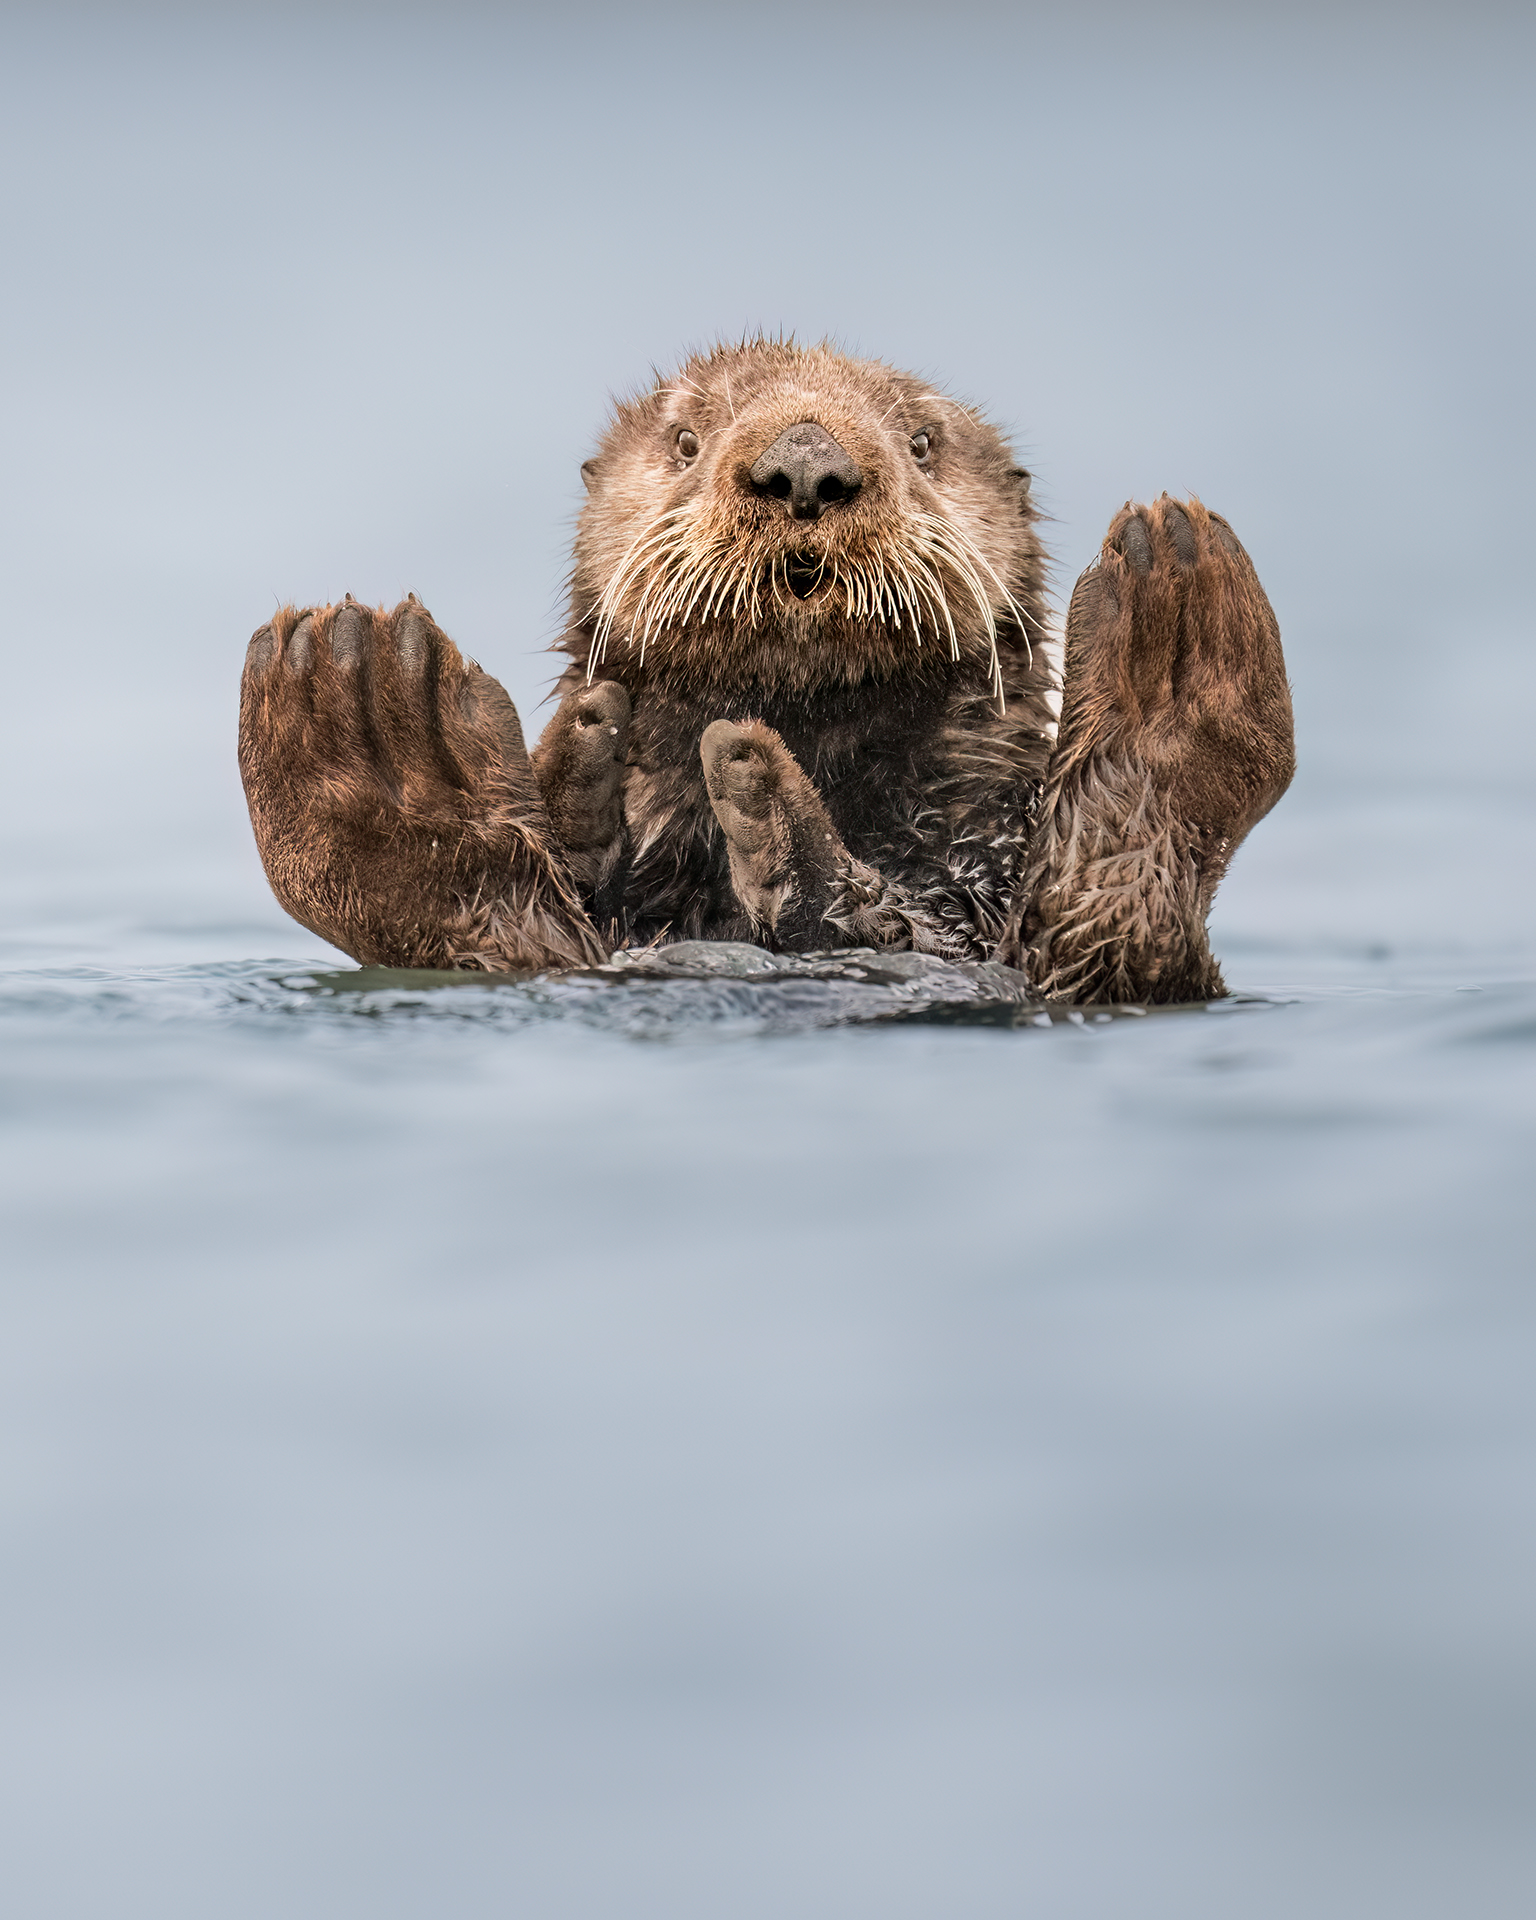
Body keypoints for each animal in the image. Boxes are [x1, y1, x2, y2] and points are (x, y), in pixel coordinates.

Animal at [240, 341, 1297, 1006]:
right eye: (685, 439)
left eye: (922, 442)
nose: (805, 462)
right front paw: (588, 764)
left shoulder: (980, 857)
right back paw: (381, 723)